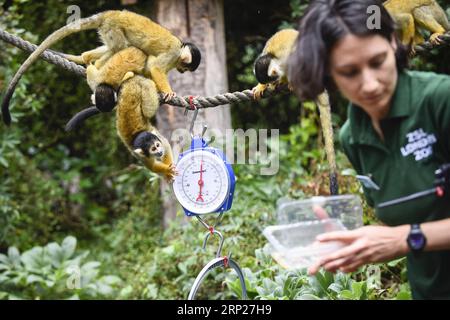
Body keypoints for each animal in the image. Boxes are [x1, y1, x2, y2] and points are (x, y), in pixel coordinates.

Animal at [0, 10, 200, 125]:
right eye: (185, 67)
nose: (183, 71)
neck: (180, 48)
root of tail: (111, 14)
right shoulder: (173, 53)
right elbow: (155, 66)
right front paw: (169, 92)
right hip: (113, 28)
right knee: (119, 47)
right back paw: (95, 64)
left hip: (108, 29)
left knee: (114, 48)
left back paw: (87, 58)